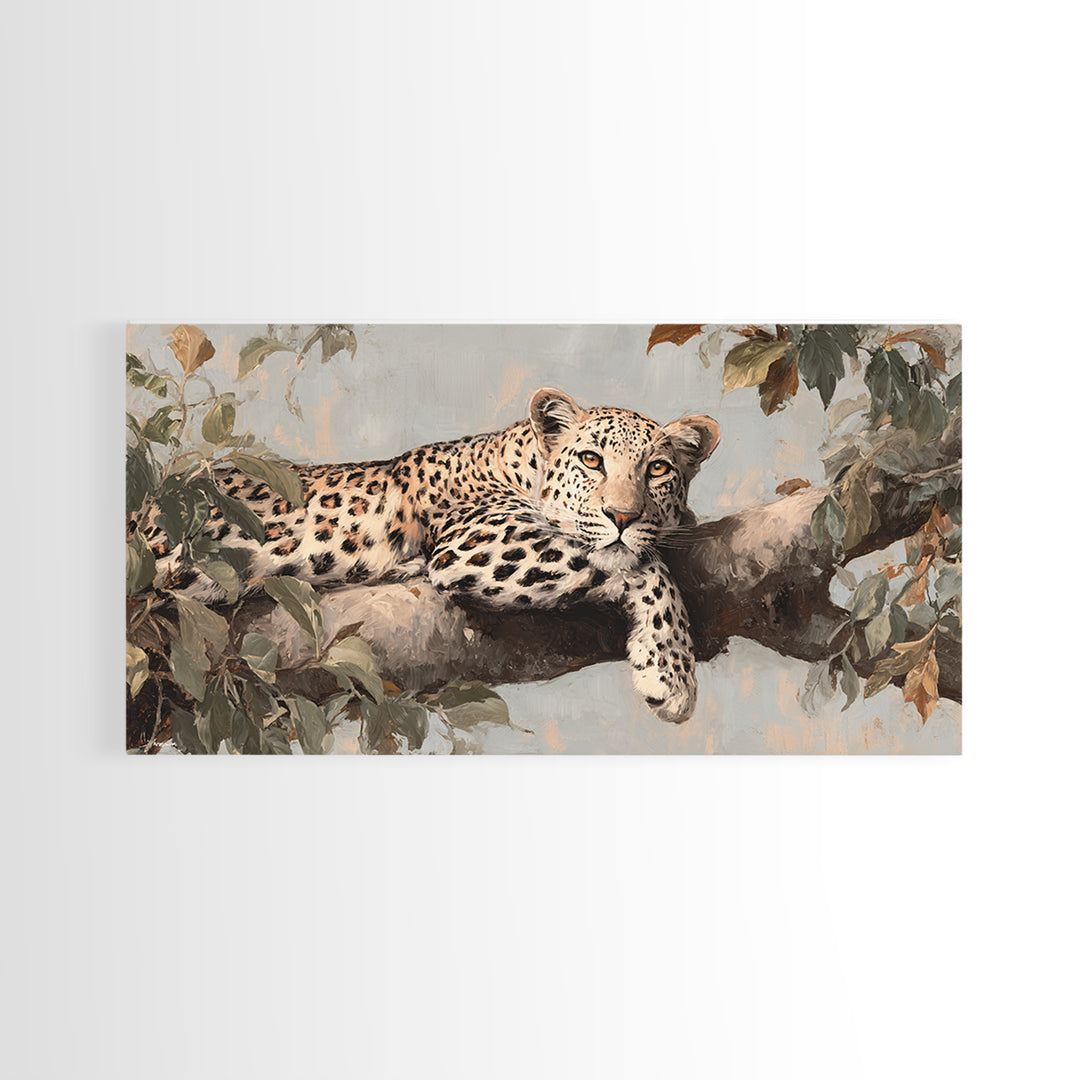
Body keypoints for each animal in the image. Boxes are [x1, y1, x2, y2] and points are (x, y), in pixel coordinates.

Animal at [138, 388, 721, 724]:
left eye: (658, 469)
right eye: (592, 460)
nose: (623, 516)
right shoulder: (480, 542)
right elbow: (639, 567)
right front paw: (672, 673)